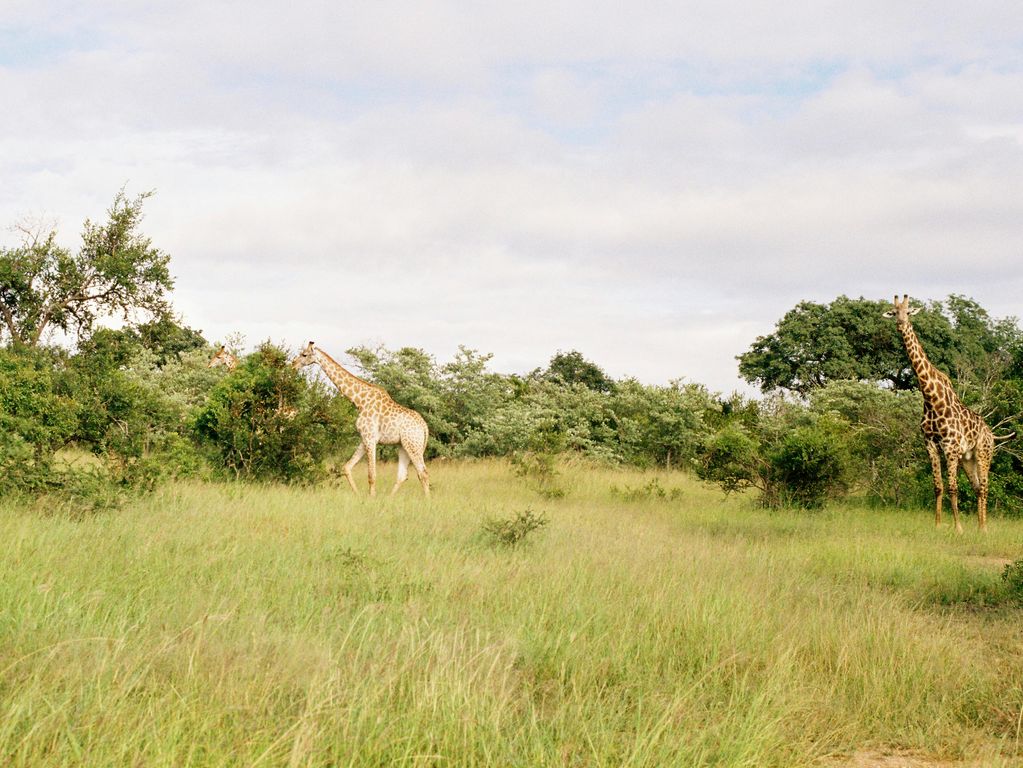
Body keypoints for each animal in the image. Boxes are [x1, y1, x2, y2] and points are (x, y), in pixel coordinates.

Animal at [290, 341, 429, 499]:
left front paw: (371, 498)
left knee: (423, 473)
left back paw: (427, 500)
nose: (293, 364)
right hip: (403, 446)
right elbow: (347, 467)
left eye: (304, 354)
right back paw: (389, 498)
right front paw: (359, 495)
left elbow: (371, 474)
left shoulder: (370, 437)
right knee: (403, 475)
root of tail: (424, 427)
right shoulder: (364, 438)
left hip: (413, 445)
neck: (359, 401)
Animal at [883, 296, 1010, 535]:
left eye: (908, 312)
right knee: (977, 487)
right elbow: (938, 486)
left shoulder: (950, 447)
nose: (901, 324)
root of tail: (991, 433)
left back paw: (984, 528)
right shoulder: (931, 444)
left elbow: (952, 487)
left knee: (985, 486)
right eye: (894, 313)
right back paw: (978, 526)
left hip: (983, 453)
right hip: (967, 458)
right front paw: (938, 524)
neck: (931, 398)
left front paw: (958, 527)